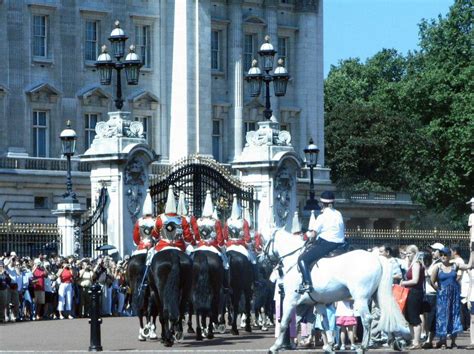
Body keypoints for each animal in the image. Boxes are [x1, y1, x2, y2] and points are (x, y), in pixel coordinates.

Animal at [264, 228, 410, 352]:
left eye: (266, 242)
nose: (262, 259)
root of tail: (377, 258)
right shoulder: (318, 303)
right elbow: (325, 323)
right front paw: (329, 346)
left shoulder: (290, 300)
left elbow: (284, 323)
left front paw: (275, 347)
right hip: (376, 296)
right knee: (387, 314)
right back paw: (396, 342)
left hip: (361, 298)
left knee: (367, 319)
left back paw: (363, 347)